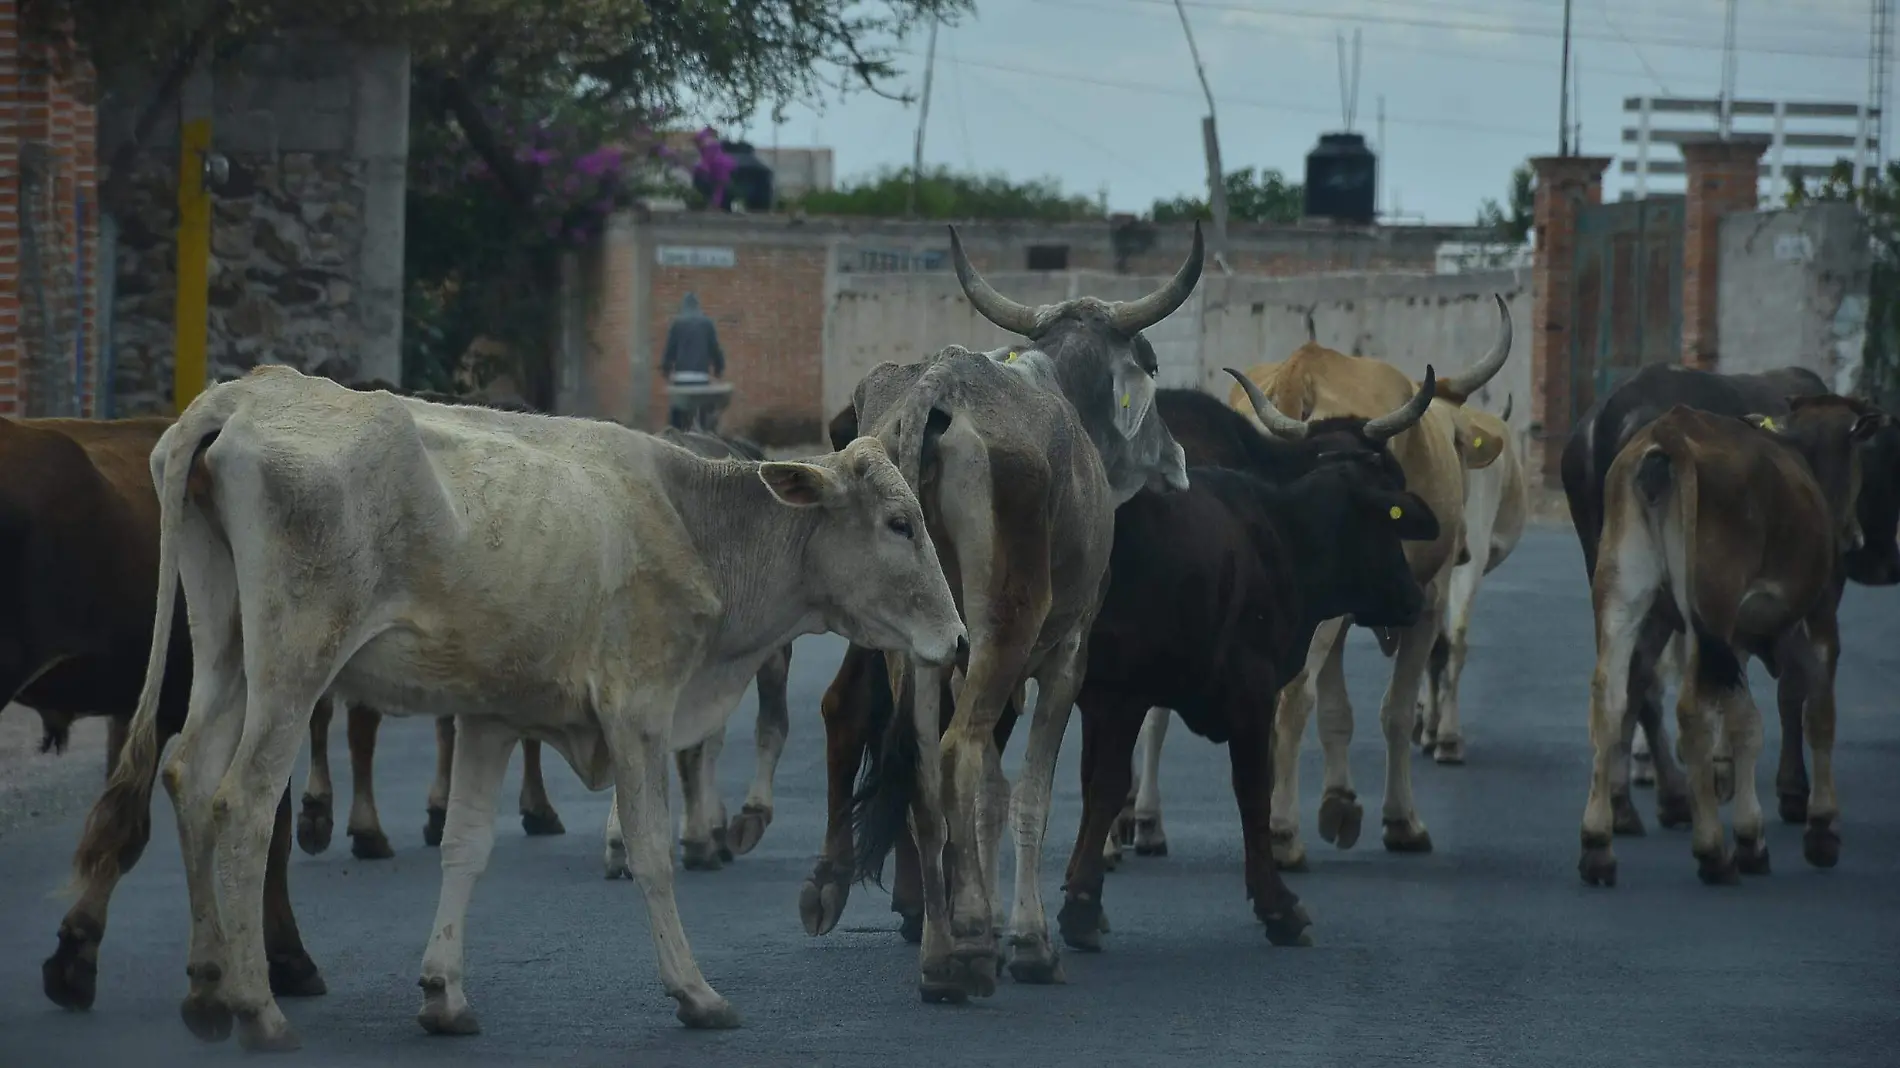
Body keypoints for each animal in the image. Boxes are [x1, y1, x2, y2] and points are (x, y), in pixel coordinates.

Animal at [72, 364, 965, 1048]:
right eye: (899, 522)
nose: (958, 640)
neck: (695, 522)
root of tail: (246, 394)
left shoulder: (491, 718)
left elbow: (466, 846)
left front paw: (443, 993)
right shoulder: (639, 709)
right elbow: (649, 851)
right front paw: (695, 991)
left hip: (225, 650)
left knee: (189, 777)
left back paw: (206, 986)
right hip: (294, 665)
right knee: (244, 802)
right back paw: (256, 1006)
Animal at [1216, 294, 1512, 870]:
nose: (1466, 546)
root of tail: (1298, 375)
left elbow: (1338, 712)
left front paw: (1340, 802)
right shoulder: (1424, 605)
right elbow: (1394, 710)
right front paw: (1402, 822)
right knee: (1294, 698)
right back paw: (1284, 835)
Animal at [1558, 361, 1900, 836]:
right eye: (1878, 462)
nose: (1864, 543)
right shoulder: (1814, 598)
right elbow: (1794, 684)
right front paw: (1791, 790)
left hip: (1621, 581)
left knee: (1633, 681)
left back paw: (1637, 801)